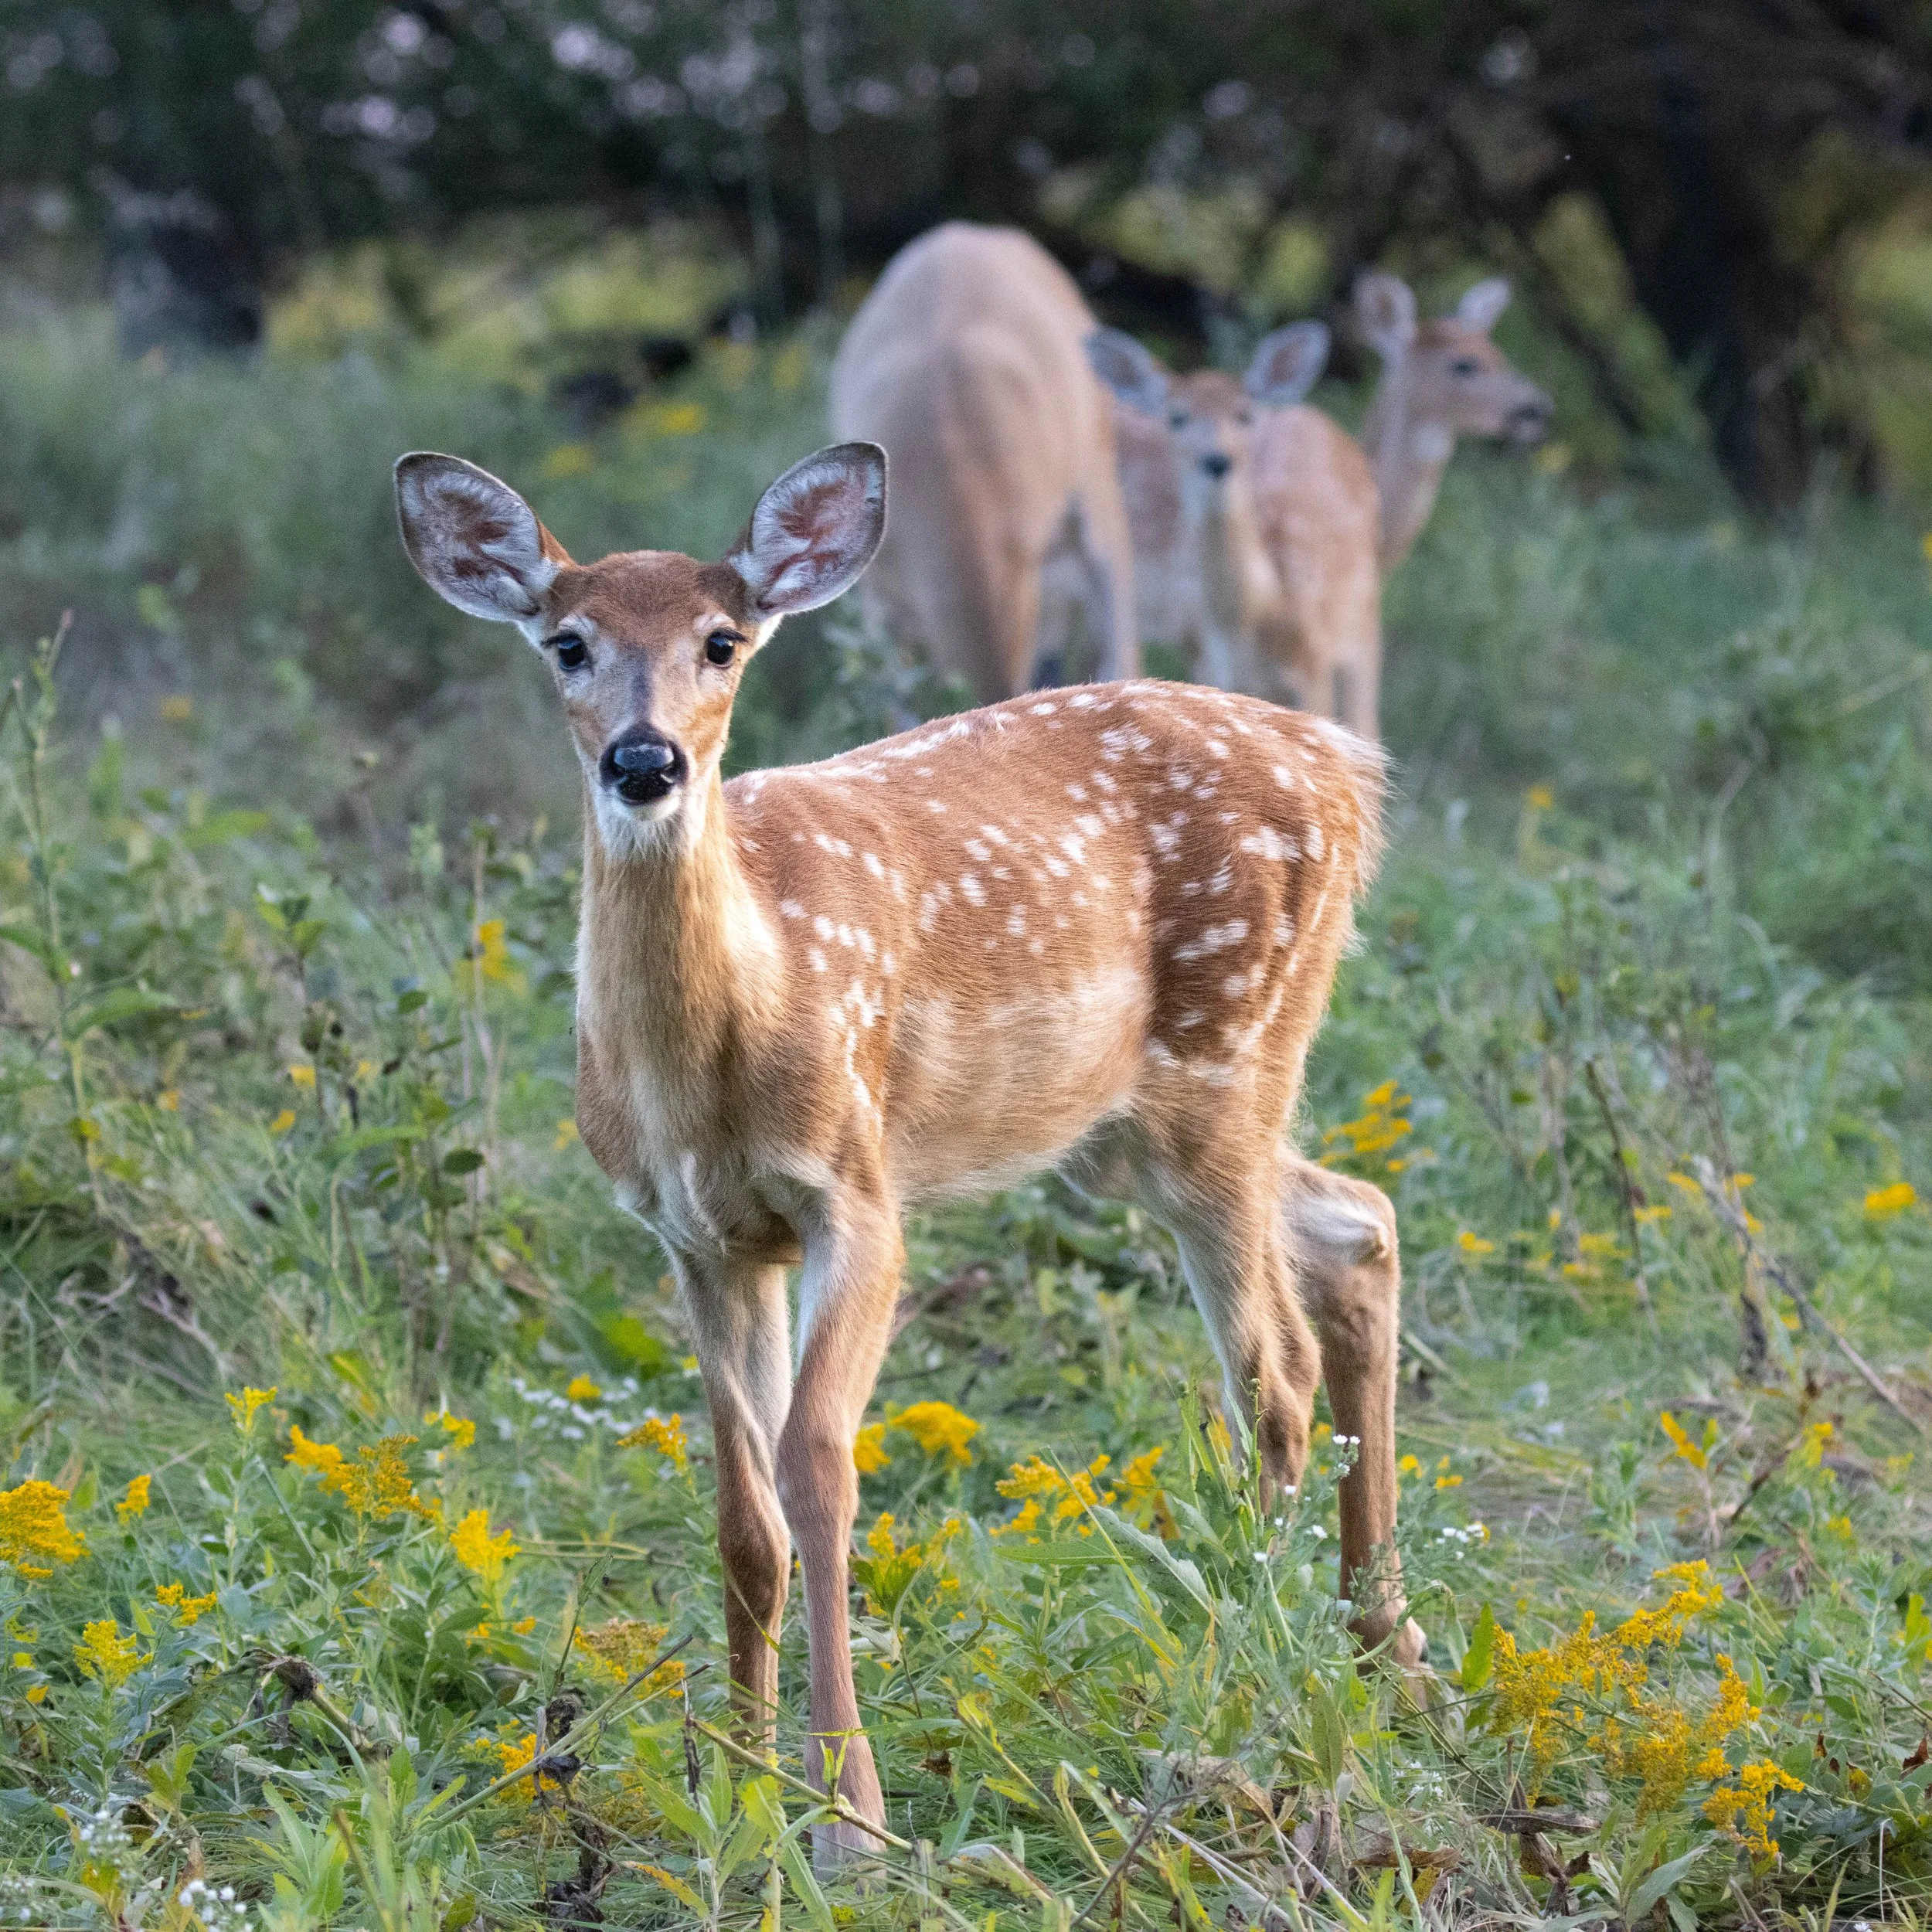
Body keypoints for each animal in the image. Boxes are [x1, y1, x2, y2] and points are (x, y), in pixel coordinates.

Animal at [394, 439, 1426, 1869]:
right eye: (567, 644)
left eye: (721, 641)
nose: (646, 761)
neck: (724, 1044)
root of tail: (1345, 767)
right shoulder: (700, 1238)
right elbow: (744, 1519)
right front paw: (738, 1791)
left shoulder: (858, 1192)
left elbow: (819, 1469)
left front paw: (849, 1816)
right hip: (1126, 1133)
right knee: (1358, 1221)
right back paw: (1384, 1643)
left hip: (1226, 1062)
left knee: (1269, 1377)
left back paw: (1235, 1693)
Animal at [1090, 325, 1386, 740]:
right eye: (1177, 417)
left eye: (1244, 414)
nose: (1216, 461)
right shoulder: (1216, 666)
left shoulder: (1313, 662)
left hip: (1364, 620)